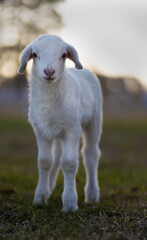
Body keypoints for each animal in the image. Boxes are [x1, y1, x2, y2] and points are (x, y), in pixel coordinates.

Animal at [17, 34, 103, 212]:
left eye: (63, 55)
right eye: (35, 54)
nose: (49, 71)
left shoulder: (72, 129)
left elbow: (69, 163)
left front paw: (70, 204)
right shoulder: (40, 130)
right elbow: (44, 161)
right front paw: (40, 197)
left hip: (95, 120)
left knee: (90, 154)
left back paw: (92, 195)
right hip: (55, 131)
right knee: (56, 157)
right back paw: (49, 188)